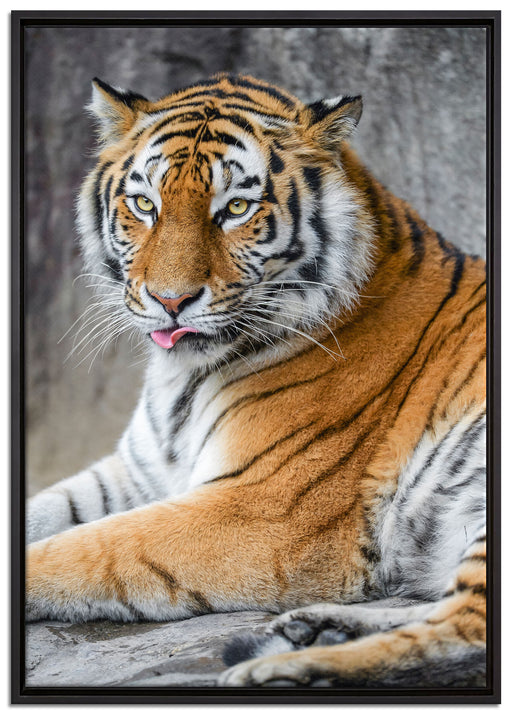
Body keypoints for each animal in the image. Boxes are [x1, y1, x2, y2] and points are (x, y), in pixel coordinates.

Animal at [26, 73, 487, 689]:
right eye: (145, 204)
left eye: (236, 209)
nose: (170, 300)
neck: (183, 378)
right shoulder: (138, 473)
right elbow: (46, 510)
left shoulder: (260, 509)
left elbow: (89, 547)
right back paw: (314, 629)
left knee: (467, 631)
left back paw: (285, 667)